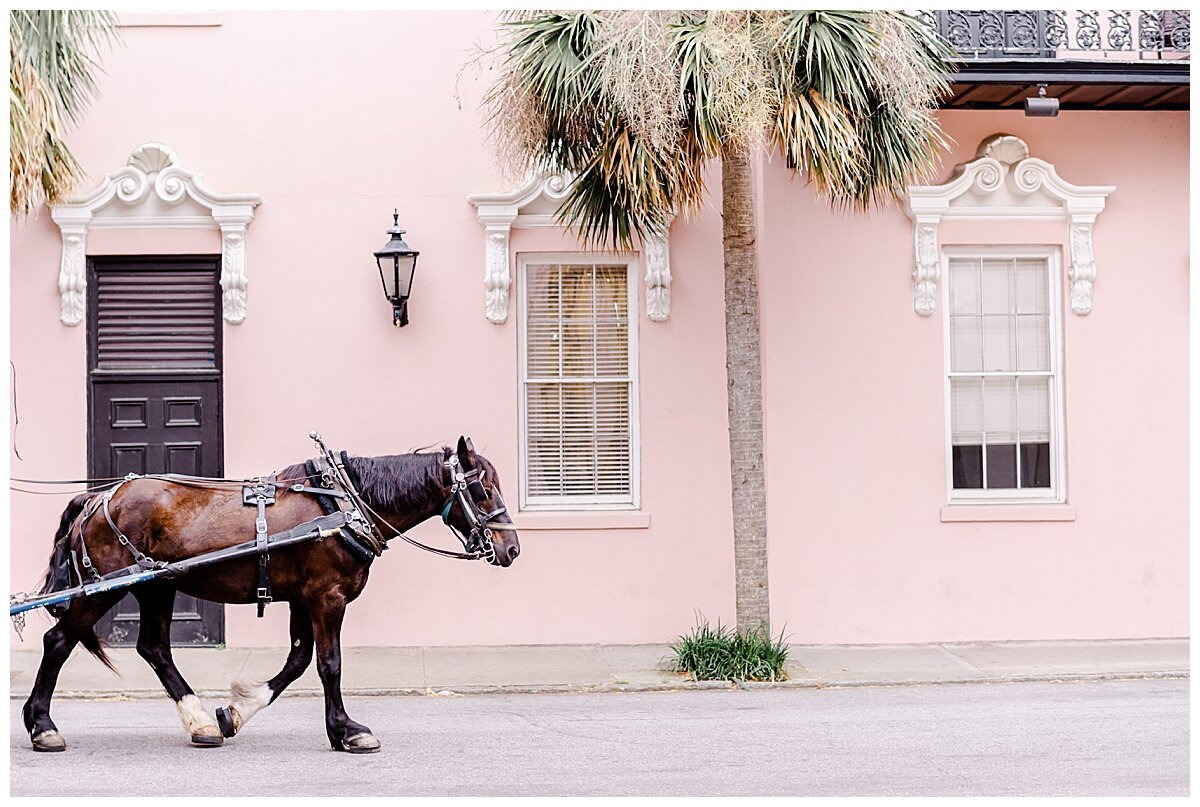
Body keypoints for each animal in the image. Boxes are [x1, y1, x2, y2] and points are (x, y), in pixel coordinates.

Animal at [18, 437, 516, 754]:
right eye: (483, 488)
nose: (511, 548)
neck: (343, 503)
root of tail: (98, 498)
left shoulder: (302, 598)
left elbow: (297, 662)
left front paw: (235, 712)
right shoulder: (326, 596)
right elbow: (329, 665)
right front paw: (347, 732)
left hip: (156, 584)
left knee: (154, 647)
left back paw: (201, 722)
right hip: (104, 590)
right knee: (58, 642)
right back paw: (42, 726)